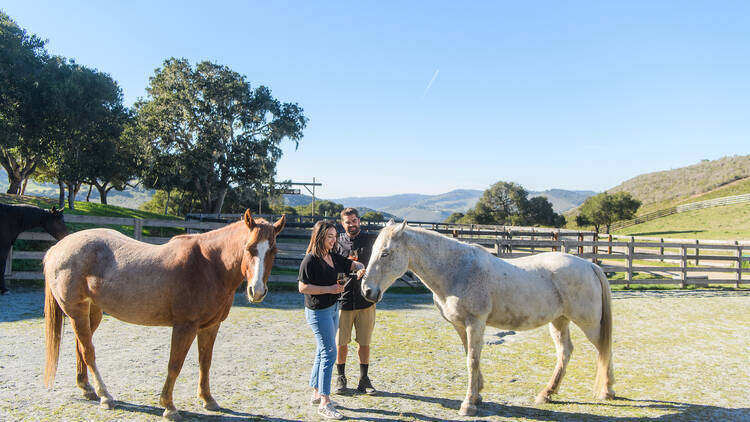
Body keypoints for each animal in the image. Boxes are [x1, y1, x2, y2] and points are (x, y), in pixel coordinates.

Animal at [43, 211, 284, 418]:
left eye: (273, 251)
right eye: (249, 248)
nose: (257, 291)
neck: (209, 265)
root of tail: (58, 248)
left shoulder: (210, 326)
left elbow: (205, 362)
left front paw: (208, 399)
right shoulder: (185, 326)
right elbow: (174, 364)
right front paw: (169, 406)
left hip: (91, 312)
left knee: (80, 347)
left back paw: (87, 388)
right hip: (77, 312)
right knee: (88, 351)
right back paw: (105, 396)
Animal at [362, 221, 612, 416]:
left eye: (385, 253)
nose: (367, 291)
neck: (458, 269)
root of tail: (590, 265)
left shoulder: (475, 322)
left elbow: (472, 360)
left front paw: (468, 405)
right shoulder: (461, 325)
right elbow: (470, 356)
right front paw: (478, 395)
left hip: (588, 323)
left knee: (603, 348)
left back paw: (606, 391)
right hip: (559, 321)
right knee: (565, 351)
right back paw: (547, 393)